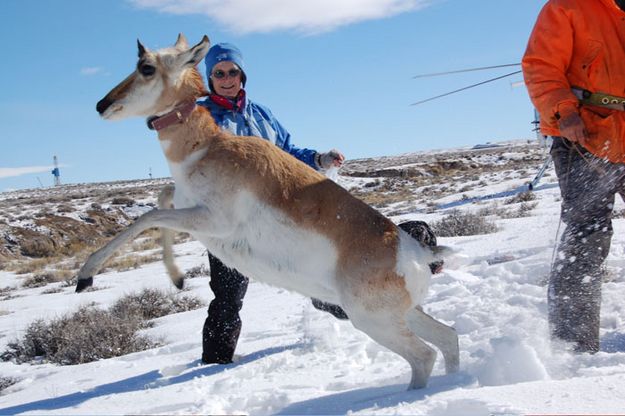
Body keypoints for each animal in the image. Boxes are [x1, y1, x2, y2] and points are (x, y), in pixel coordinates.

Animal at [78, 34, 458, 388]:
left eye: (146, 67)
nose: (101, 104)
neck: (208, 147)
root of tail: (415, 251)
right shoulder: (187, 207)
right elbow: (159, 199)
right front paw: (176, 277)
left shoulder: (210, 220)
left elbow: (147, 217)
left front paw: (86, 275)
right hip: (402, 316)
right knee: (448, 338)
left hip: (374, 321)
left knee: (424, 356)